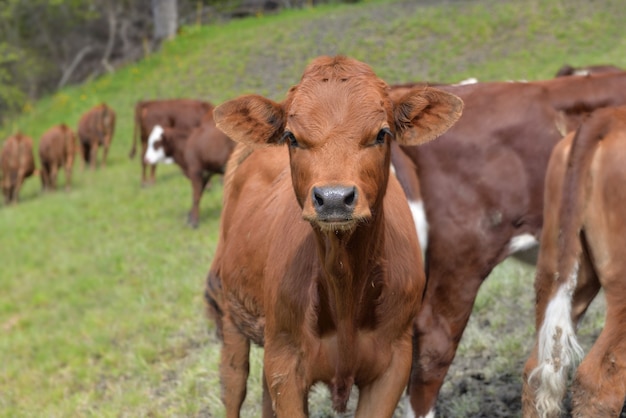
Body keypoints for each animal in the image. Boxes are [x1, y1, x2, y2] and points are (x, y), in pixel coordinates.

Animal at [205, 55, 464, 418]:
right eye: (292, 137)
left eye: (382, 133)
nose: (333, 198)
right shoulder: (285, 363)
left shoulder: (394, 363)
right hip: (231, 316)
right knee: (234, 385)